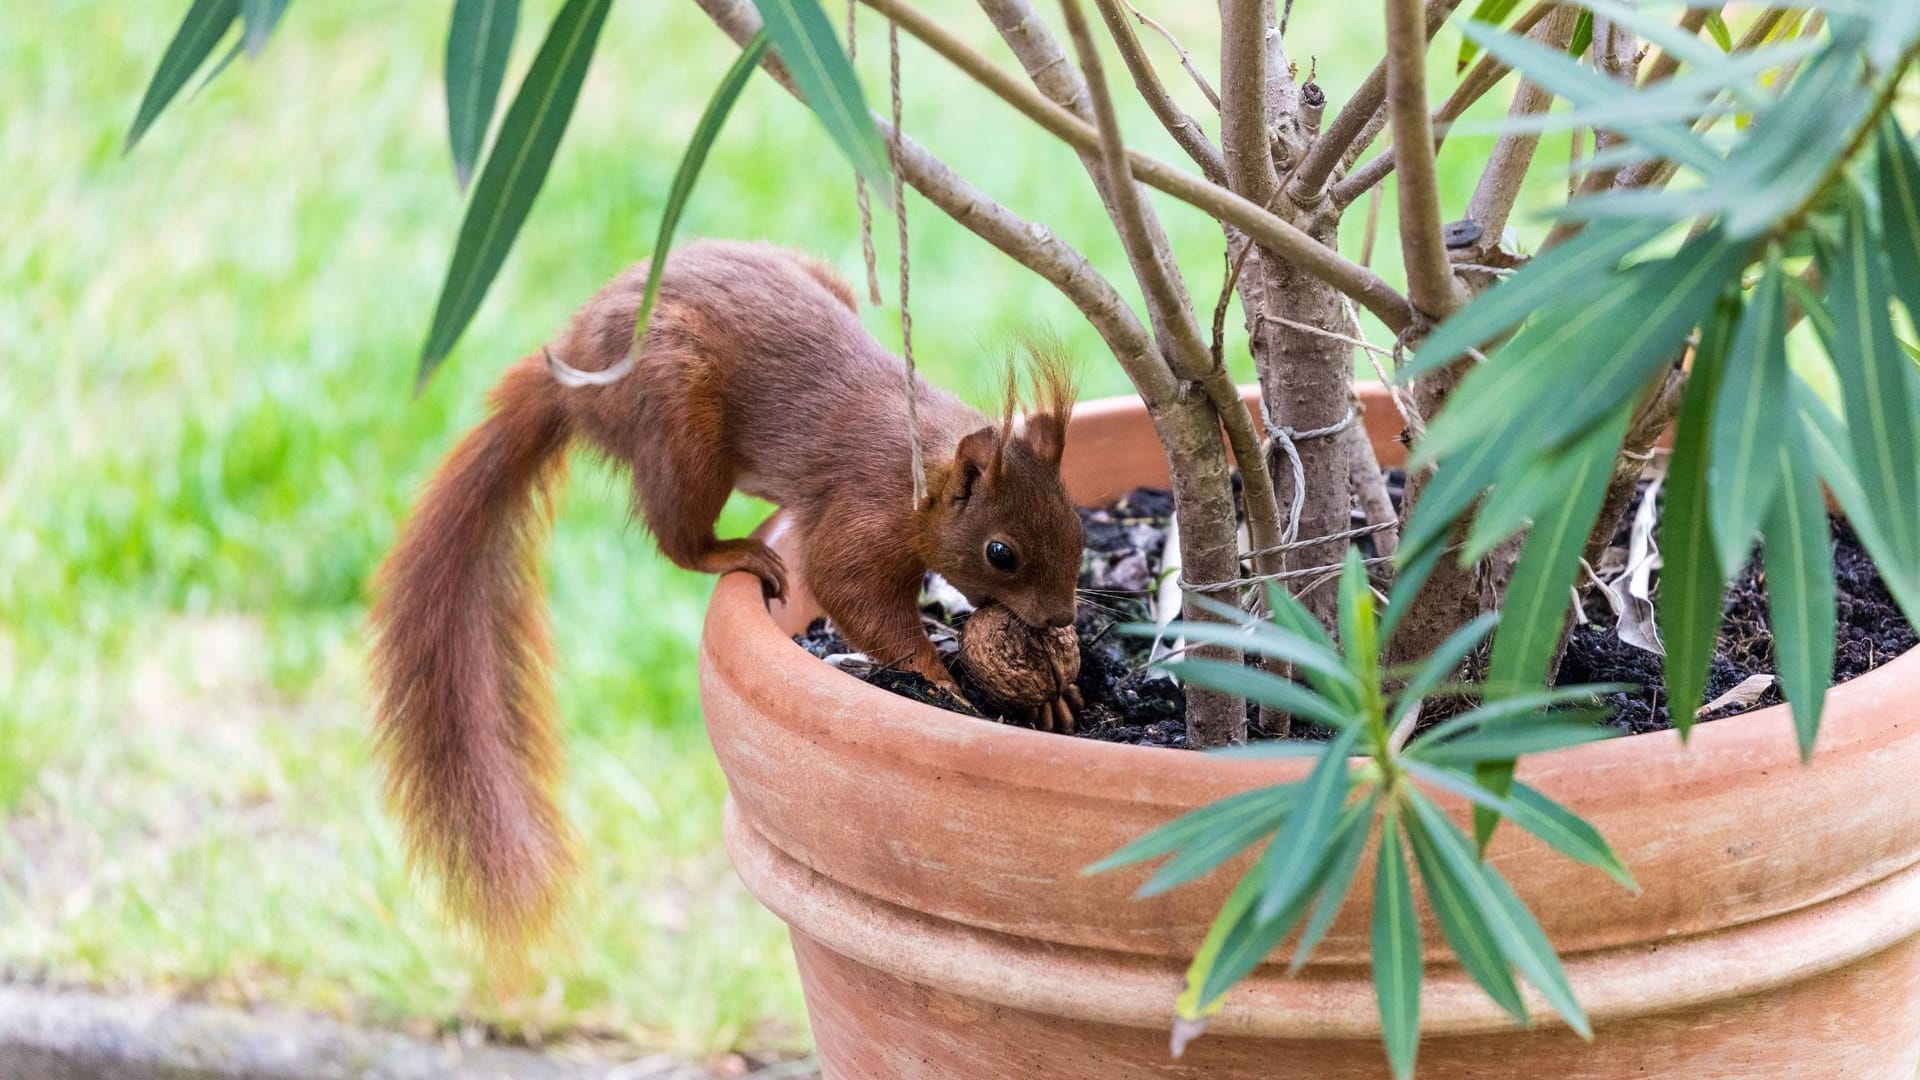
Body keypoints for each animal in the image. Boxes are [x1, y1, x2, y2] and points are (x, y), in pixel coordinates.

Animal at [362, 239, 1082, 945]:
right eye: (1001, 553)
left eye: (1078, 523)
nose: (1059, 619)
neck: (922, 470)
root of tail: (571, 365)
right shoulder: (862, 513)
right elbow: (849, 590)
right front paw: (944, 681)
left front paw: (1055, 694)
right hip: (677, 416)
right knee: (679, 539)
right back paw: (733, 552)